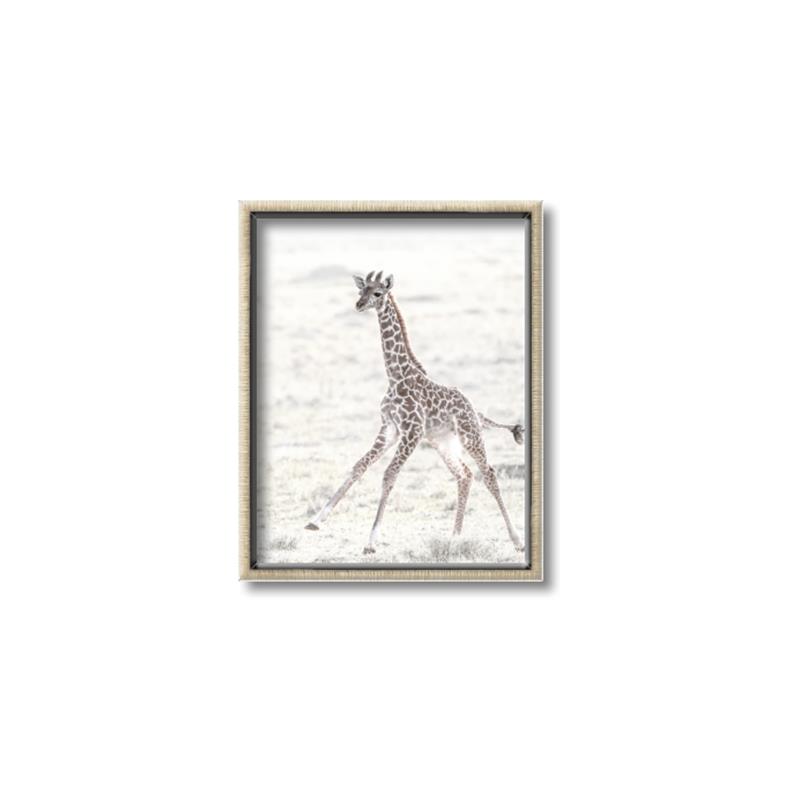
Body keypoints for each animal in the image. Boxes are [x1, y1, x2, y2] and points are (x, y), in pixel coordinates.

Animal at [304, 271, 525, 555]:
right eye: (360, 290)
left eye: (377, 293)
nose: (359, 305)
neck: (396, 376)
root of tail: (475, 410)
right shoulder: (389, 428)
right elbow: (359, 466)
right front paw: (315, 520)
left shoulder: (412, 431)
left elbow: (389, 474)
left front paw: (371, 542)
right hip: (443, 442)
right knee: (464, 474)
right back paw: (454, 537)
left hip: (470, 435)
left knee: (488, 473)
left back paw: (517, 540)